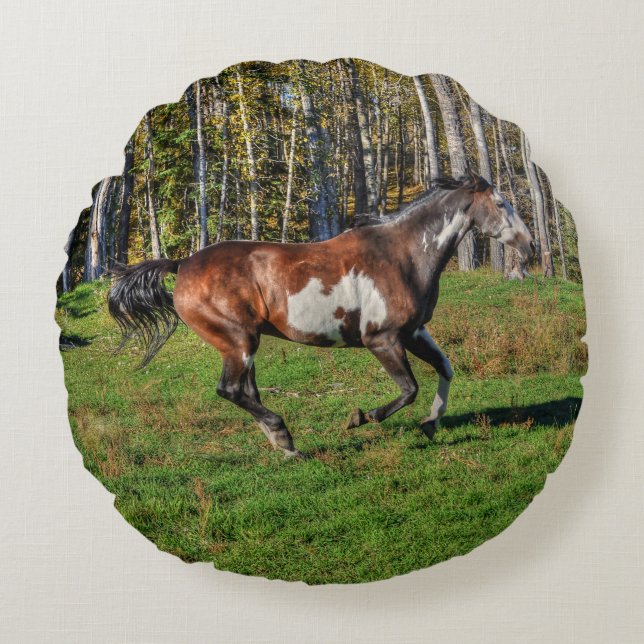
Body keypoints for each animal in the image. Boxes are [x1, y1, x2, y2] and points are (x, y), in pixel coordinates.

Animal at [108, 172, 534, 458]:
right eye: (501, 204)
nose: (530, 245)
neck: (404, 255)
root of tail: (182, 264)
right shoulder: (382, 339)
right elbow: (408, 389)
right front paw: (361, 417)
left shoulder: (414, 332)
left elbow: (445, 368)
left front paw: (431, 424)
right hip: (238, 341)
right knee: (230, 390)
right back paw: (284, 435)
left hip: (244, 346)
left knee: (246, 392)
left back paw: (285, 446)